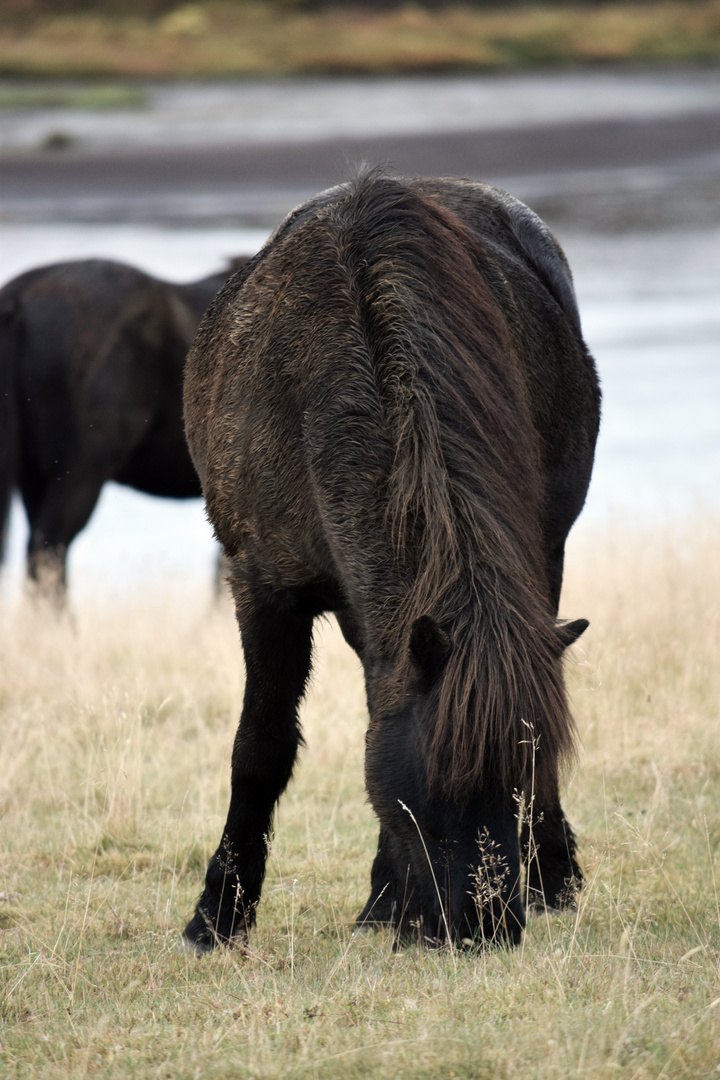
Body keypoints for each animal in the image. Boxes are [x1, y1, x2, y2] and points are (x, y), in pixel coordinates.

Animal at [181, 172, 604, 950]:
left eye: (519, 764)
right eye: (440, 773)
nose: (488, 922)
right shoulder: (263, 586)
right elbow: (261, 748)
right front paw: (217, 917)